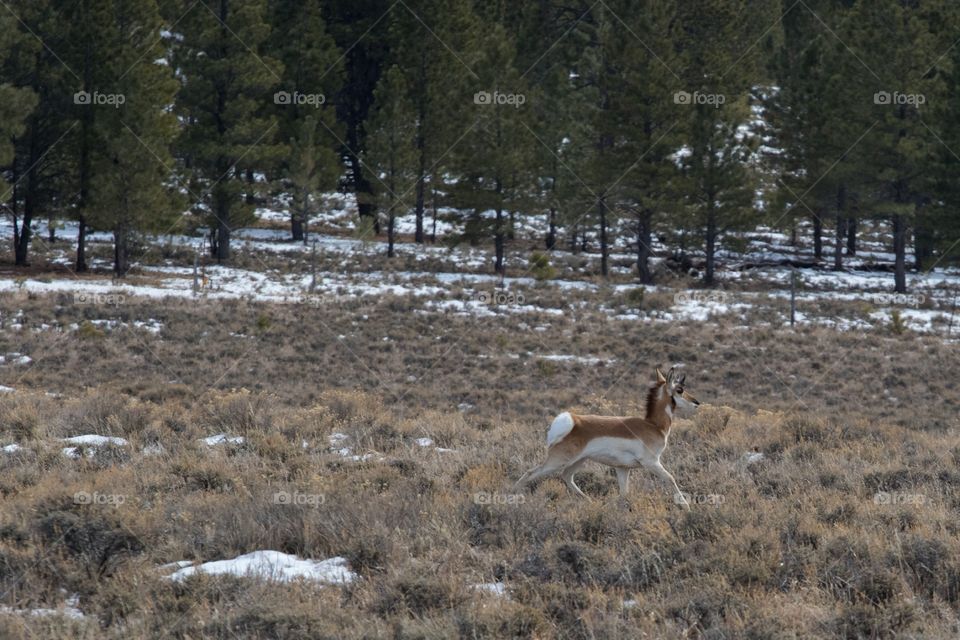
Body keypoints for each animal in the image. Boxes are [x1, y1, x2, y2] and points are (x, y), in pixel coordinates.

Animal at [512, 368, 700, 508]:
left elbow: (624, 493)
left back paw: (589, 501)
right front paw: (686, 506)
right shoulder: (652, 463)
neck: (653, 425)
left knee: (567, 477)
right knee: (530, 473)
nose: (697, 403)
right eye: (680, 390)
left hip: (578, 461)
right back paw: (514, 500)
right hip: (557, 461)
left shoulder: (623, 469)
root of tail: (573, 421)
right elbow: (671, 478)